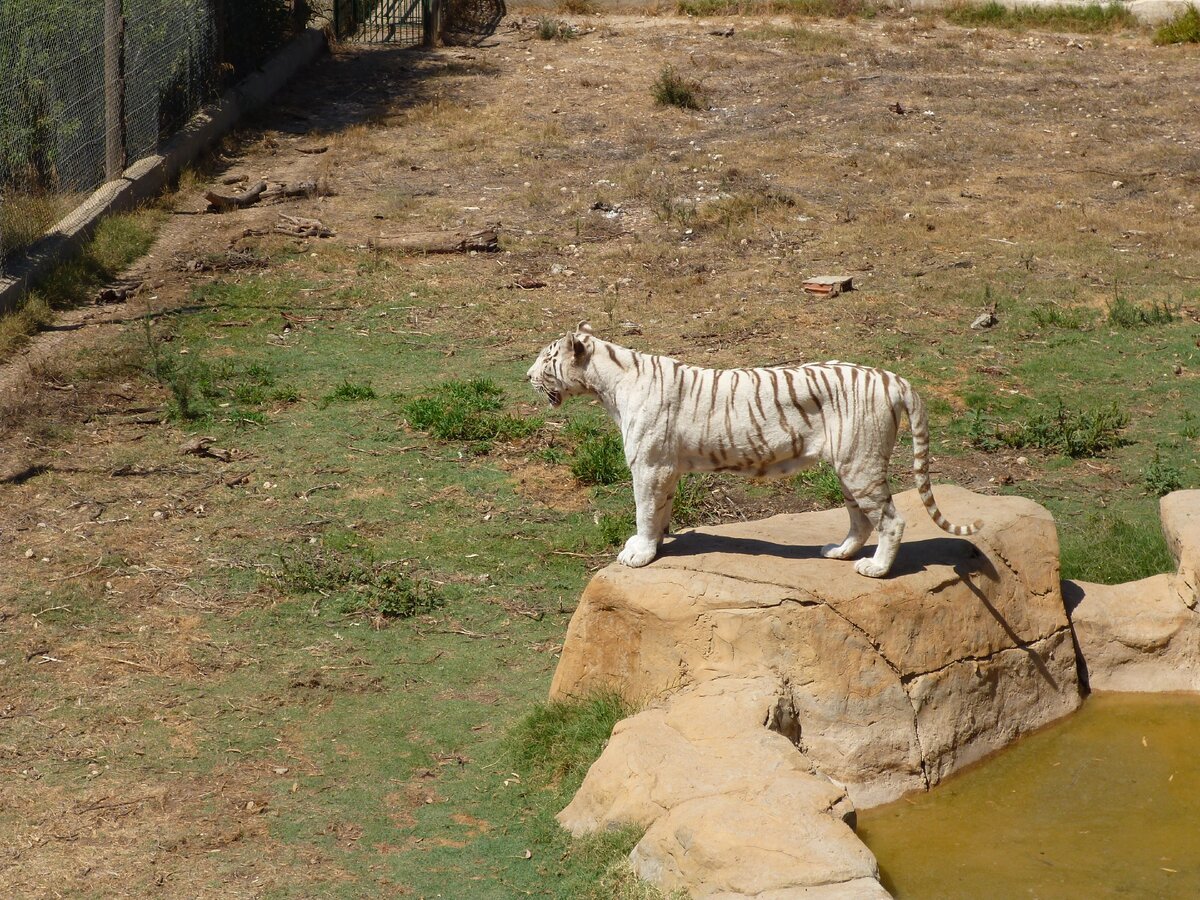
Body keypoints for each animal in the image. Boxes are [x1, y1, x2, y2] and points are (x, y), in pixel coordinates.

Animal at [530, 321, 979, 578]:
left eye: (545, 359)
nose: (527, 375)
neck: (608, 384)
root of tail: (892, 378)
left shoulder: (649, 465)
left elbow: (644, 510)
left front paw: (638, 554)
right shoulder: (666, 469)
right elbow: (659, 512)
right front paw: (655, 546)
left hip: (860, 463)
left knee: (890, 520)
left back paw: (876, 569)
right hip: (850, 465)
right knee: (861, 519)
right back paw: (839, 552)